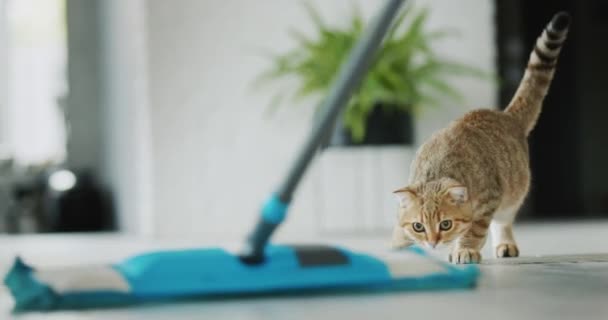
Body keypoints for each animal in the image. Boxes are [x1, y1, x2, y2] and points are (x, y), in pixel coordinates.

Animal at [392, 11, 572, 264]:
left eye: (445, 224)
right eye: (418, 226)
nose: (433, 242)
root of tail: (506, 115)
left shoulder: (489, 200)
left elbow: (474, 231)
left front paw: (465, 250)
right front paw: (399, 242)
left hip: (511, 197)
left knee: (502, 223)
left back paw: (504, 244)